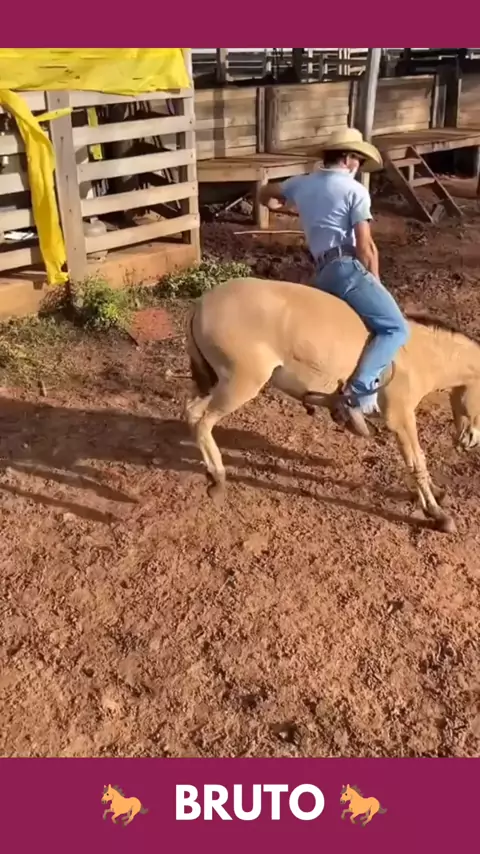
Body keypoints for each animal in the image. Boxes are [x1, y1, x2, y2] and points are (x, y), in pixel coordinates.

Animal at [184, 276, 480, 534]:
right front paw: (437, 514)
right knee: (201, 419)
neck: (416, 352)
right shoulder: (401, 417)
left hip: (219, 382)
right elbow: (417, 460)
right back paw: (218, 478)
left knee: (193, 414)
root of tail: (201, 303)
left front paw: (438, 495)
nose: (471, 441)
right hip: (240, 383)